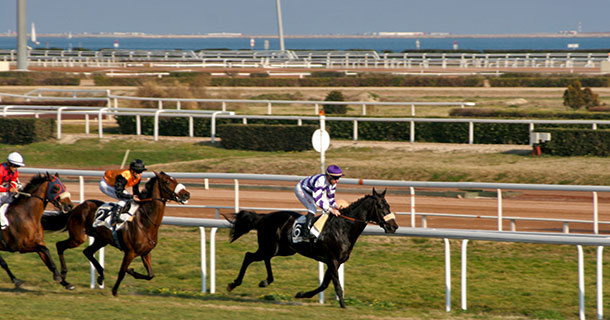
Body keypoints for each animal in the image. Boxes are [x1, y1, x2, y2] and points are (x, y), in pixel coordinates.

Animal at [41, 171, 189, 296]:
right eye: (168, 182)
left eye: (175, 179)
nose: (186, 194)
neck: (145, 221)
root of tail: (76, 208)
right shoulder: (130, 252)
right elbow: (122, 272)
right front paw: (115, 290)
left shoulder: (146, 252)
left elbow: (150, 275)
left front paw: (132, 271)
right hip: (78, 238)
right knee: (60, 245)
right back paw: (63, 276)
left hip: (101, 239)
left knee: (87, 251)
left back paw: (100, 276)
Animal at [226, 188, 396, 308]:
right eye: (380, 206)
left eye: (388, 205)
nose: (394, 226)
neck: (343, 227)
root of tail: (264, 216)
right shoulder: (332, 260)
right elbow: (336, 285)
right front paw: (343, 305)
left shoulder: (335, 262)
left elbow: (324, 284)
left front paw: (302, 294)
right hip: (270, 247)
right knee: (249, 256)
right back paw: (233, 284)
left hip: (283, 249)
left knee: (264, 258)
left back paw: (266, 281)